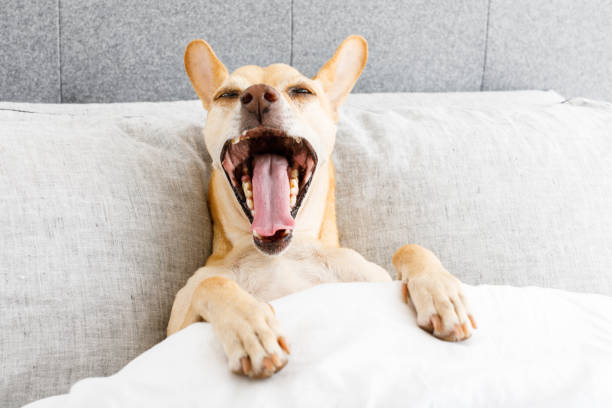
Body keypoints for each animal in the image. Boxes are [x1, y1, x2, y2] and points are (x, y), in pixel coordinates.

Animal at [169, 35, 478, 380]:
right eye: (228, 95)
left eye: (301, 91)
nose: (258, 95)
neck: (281, 255)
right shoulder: (173, 331)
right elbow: (212, 283)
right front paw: (250, 325)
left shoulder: (373, 278)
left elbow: (409, 247)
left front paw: (441, 292)